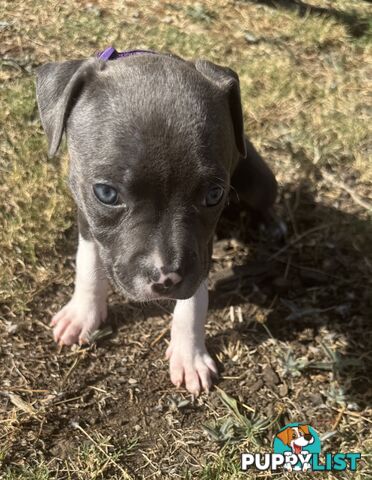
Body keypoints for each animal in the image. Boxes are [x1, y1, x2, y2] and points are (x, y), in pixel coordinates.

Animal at [36, 47, 278, 394]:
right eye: (106, 193)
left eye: (214, 194)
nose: (166, 279)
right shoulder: (85, 213)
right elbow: (88, 262)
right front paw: (83, 312)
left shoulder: (201, 247)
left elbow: (194, 299)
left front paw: (189, 354)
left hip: (261, 181)